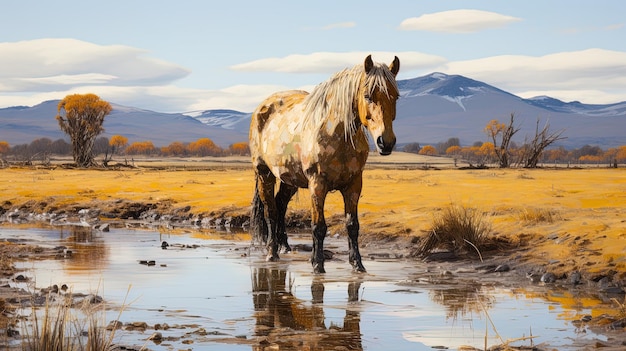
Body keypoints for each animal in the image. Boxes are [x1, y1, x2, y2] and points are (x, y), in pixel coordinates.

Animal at [249, 55, 400, 276]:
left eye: (396, 96)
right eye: (367, 96)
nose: (386, 143)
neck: (337, 133)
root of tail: (262, 107)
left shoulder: (354, 185)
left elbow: (352, 225)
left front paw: (357, 264)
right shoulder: (317, 184)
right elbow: (318, 226)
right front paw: (317, 264)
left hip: (290, 180)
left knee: (281, 205)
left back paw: (284, 246)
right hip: (264, 174)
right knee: (271, 211)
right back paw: (272, 252)